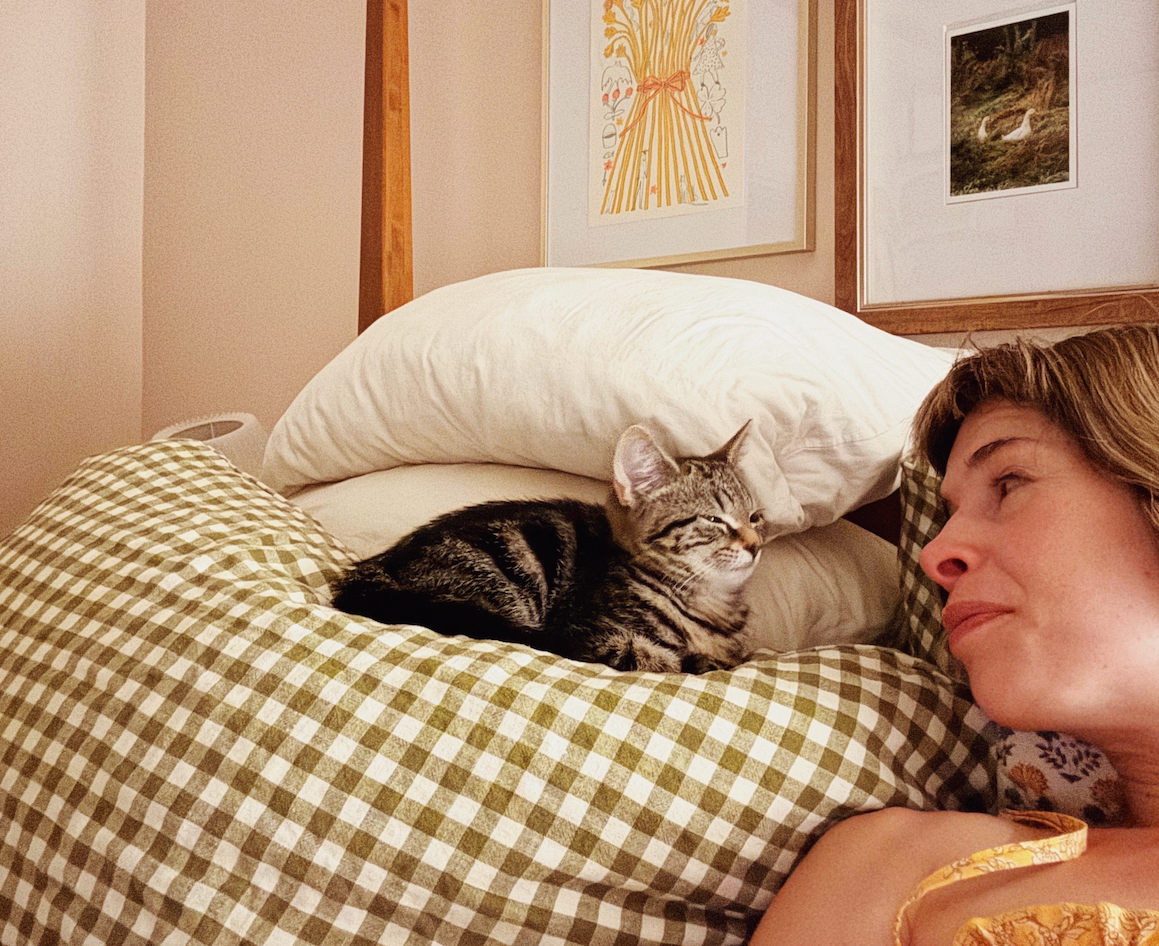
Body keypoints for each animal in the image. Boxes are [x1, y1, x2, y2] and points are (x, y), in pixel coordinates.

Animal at [329, 421, 760, 672]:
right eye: (714, 520)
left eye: (756, 517)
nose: (756, 545)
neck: (712, 603)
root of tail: (373, 571)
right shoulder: (588, 633)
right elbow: (664, 657)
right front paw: (699, 660)